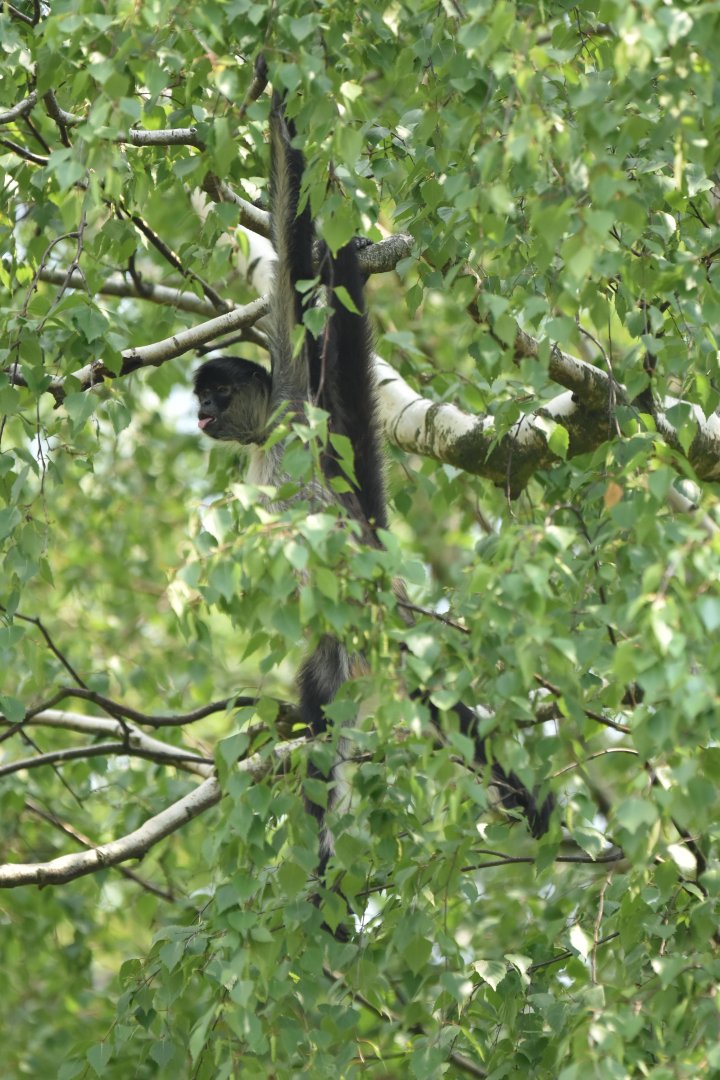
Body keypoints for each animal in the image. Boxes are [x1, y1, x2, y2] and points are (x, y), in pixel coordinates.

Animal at [194, 93, 552, 890]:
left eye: (217, 392)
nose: (198, 413)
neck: (272, 435)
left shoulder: (301, 391)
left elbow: (295, 254)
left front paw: (277, 95)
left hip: (366, 640)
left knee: (397, 724)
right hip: (331, 659)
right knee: (324, 733)